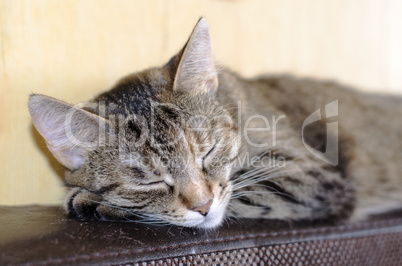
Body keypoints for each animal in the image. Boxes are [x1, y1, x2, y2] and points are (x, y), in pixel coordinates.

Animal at [29, 18, 402, 229]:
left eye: (207, 152)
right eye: (148, 181)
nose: (203, 206)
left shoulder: (315, 176)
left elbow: (248, 193)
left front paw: (90, 201)